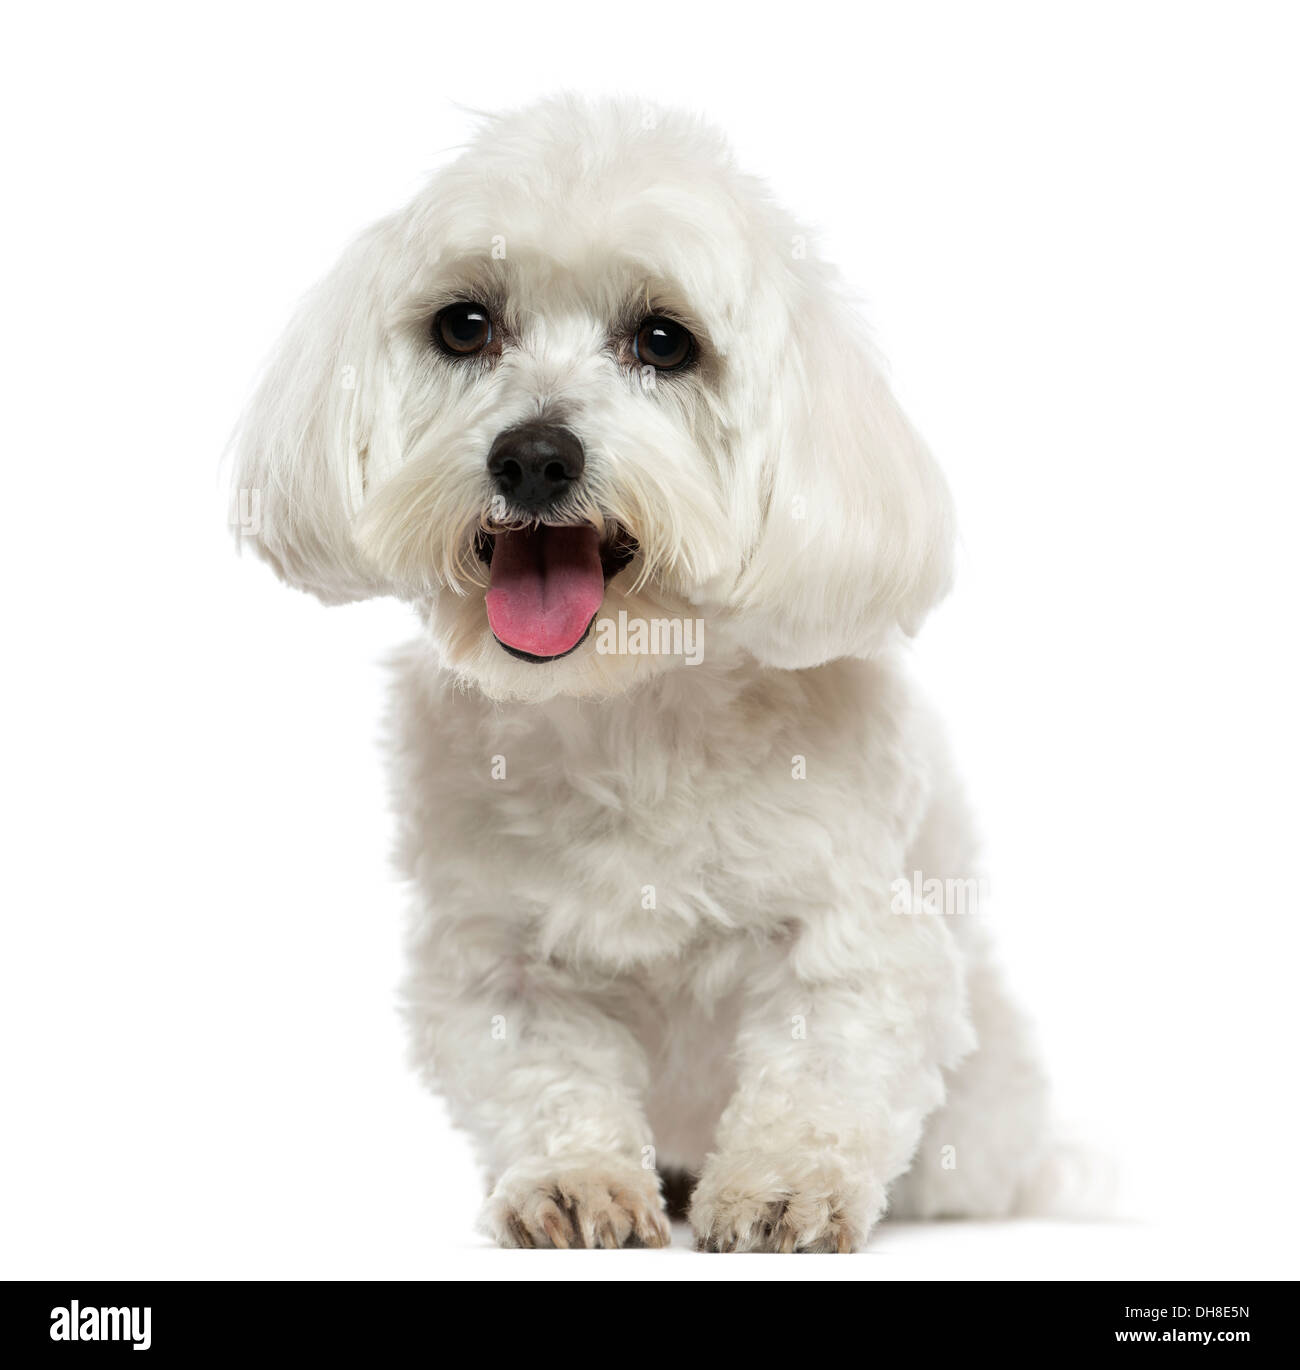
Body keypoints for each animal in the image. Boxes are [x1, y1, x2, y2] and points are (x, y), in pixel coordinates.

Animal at [230, 96, 1046, 1254]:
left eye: (665, 340)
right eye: (463, 325)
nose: (534, 456)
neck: (626, 704)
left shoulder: (855, 939)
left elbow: (821, 1068)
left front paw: (784, 1190)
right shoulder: (498, 959)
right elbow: (546, 1075)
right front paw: (574, 1183)